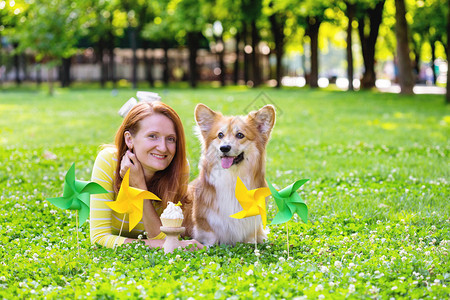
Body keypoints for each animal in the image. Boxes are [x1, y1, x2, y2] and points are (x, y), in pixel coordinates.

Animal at [182, 103, 274, 246]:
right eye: (220, 135)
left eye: (240, 135)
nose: (224, 148)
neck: (233, 178)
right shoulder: (203, 220)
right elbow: (210, 236)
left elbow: (251, 236)